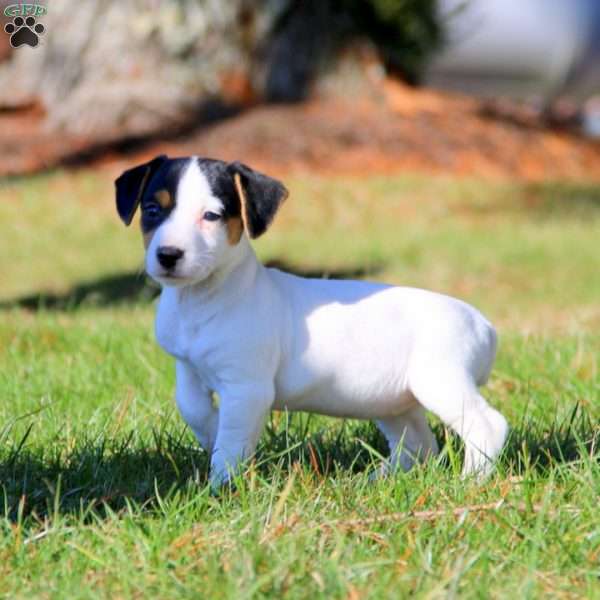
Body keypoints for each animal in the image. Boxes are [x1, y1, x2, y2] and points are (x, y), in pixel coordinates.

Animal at [115, 155, 508, 488]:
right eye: (152, 209)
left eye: (211, 216)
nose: (168, 255)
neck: (204, 298)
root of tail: (484, 325)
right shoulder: (188, 368)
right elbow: (193, 408)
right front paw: (212, 430)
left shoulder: (247, 387)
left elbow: (232, 441)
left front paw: (221, 484)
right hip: (392, 400)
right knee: (418, 445)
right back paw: (373, 481)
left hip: (441, 382)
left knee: (486, 424)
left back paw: (471, 481)